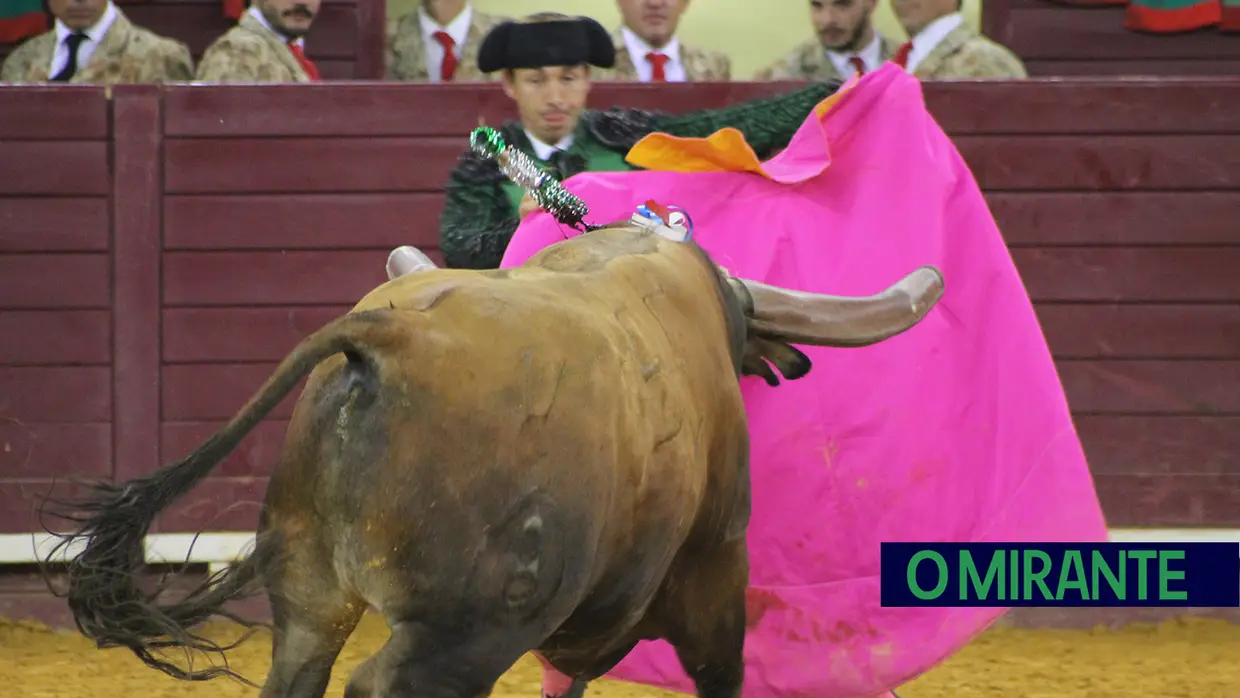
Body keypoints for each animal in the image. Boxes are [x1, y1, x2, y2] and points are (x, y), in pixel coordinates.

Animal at [43, 223, 942, 698]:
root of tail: (386, 337)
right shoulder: (714, 567)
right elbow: (716, 667)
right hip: (468, 627)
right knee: (381, 685)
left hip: (311, 594)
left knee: (301, 672)